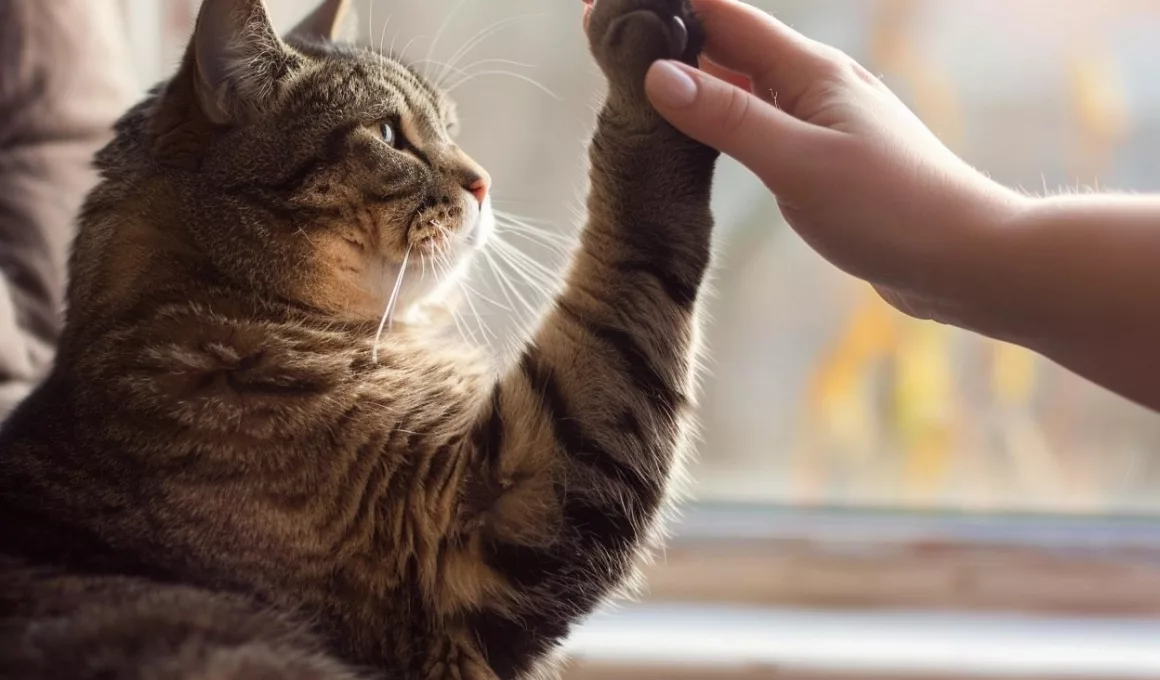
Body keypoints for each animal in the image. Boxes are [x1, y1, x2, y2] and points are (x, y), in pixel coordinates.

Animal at [0, 0, 714, 673]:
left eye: (450, 127)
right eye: (388, 134)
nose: (484, 181)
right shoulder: (486, 518)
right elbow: (630, 258)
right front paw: (649, 78)